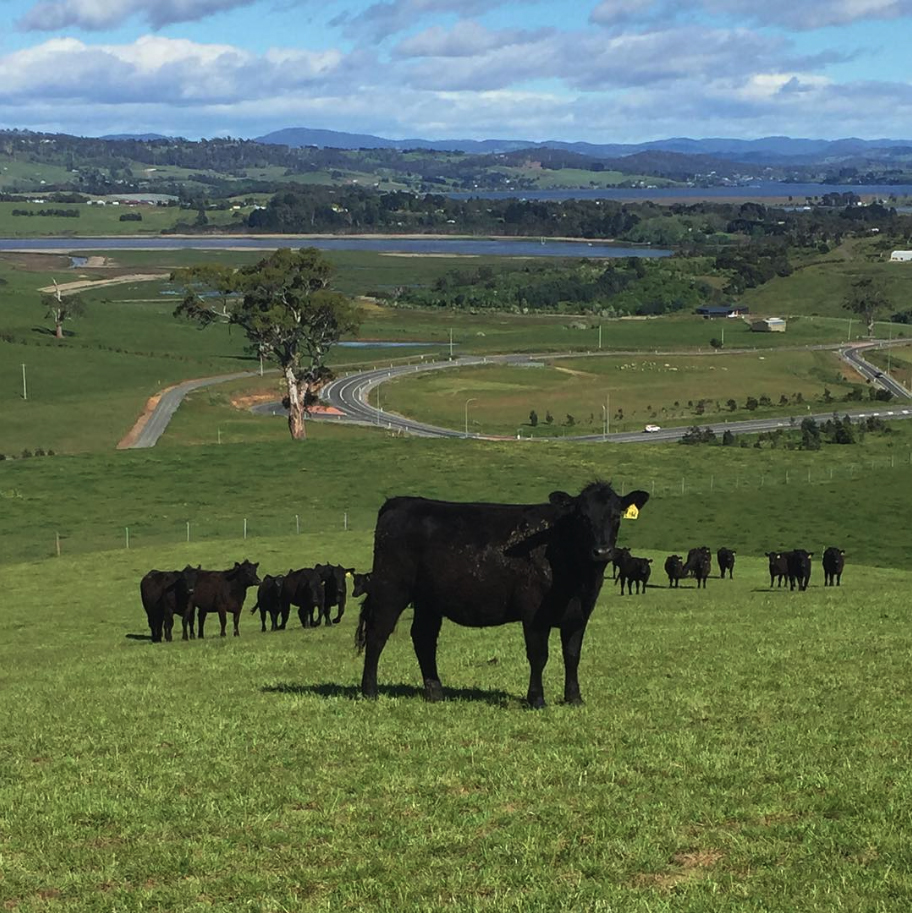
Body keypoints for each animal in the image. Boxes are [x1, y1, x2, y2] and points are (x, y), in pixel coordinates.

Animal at [356, 480, 648, 708]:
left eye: (616, 517)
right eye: (583, 517)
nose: (602, 552)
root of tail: (399, 503)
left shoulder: (579, 616)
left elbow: (572, 655)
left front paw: (574, 698)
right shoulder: (534, 614)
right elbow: (539, 656)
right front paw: (536, 699)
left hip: (428, 600)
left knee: (423, 638)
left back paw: (436, 692)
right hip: (391, 588)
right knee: (377, 635)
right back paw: (370, 691)